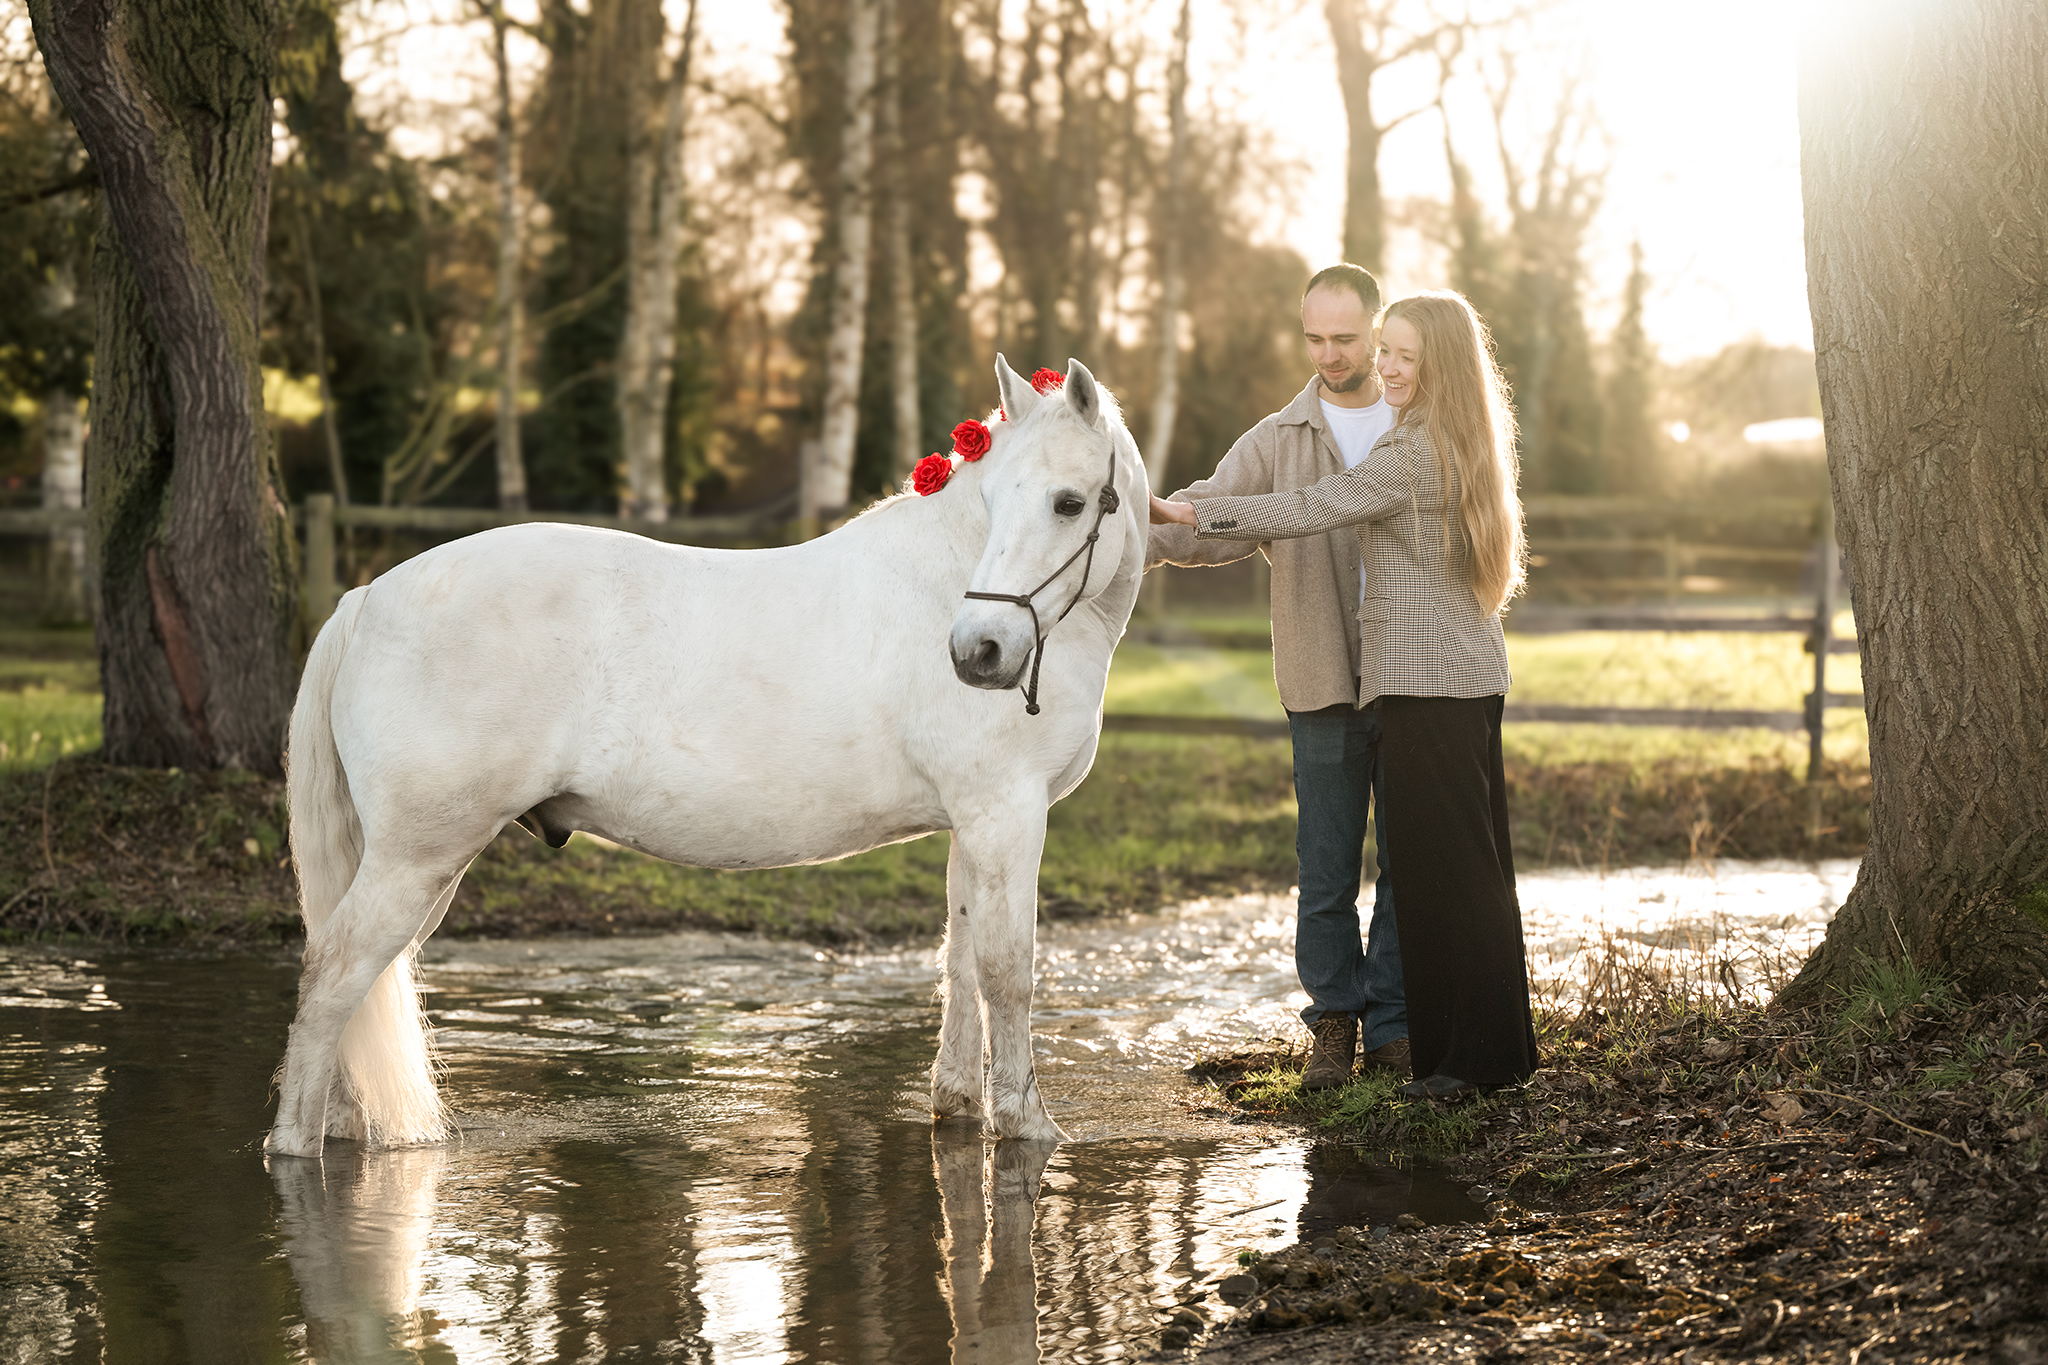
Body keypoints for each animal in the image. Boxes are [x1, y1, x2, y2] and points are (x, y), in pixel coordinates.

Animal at [264, 356, 1147, 1159]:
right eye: (994, 502)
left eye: (1068, 503)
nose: (978, 652)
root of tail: (364, 598)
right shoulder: (1006, 814)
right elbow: (1008, 970)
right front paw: (1029, 1125)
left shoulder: (973, 822)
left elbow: (960, 963)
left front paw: (961, 1108)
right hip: (418, 856)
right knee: (333, 976)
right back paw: (295, 1145)